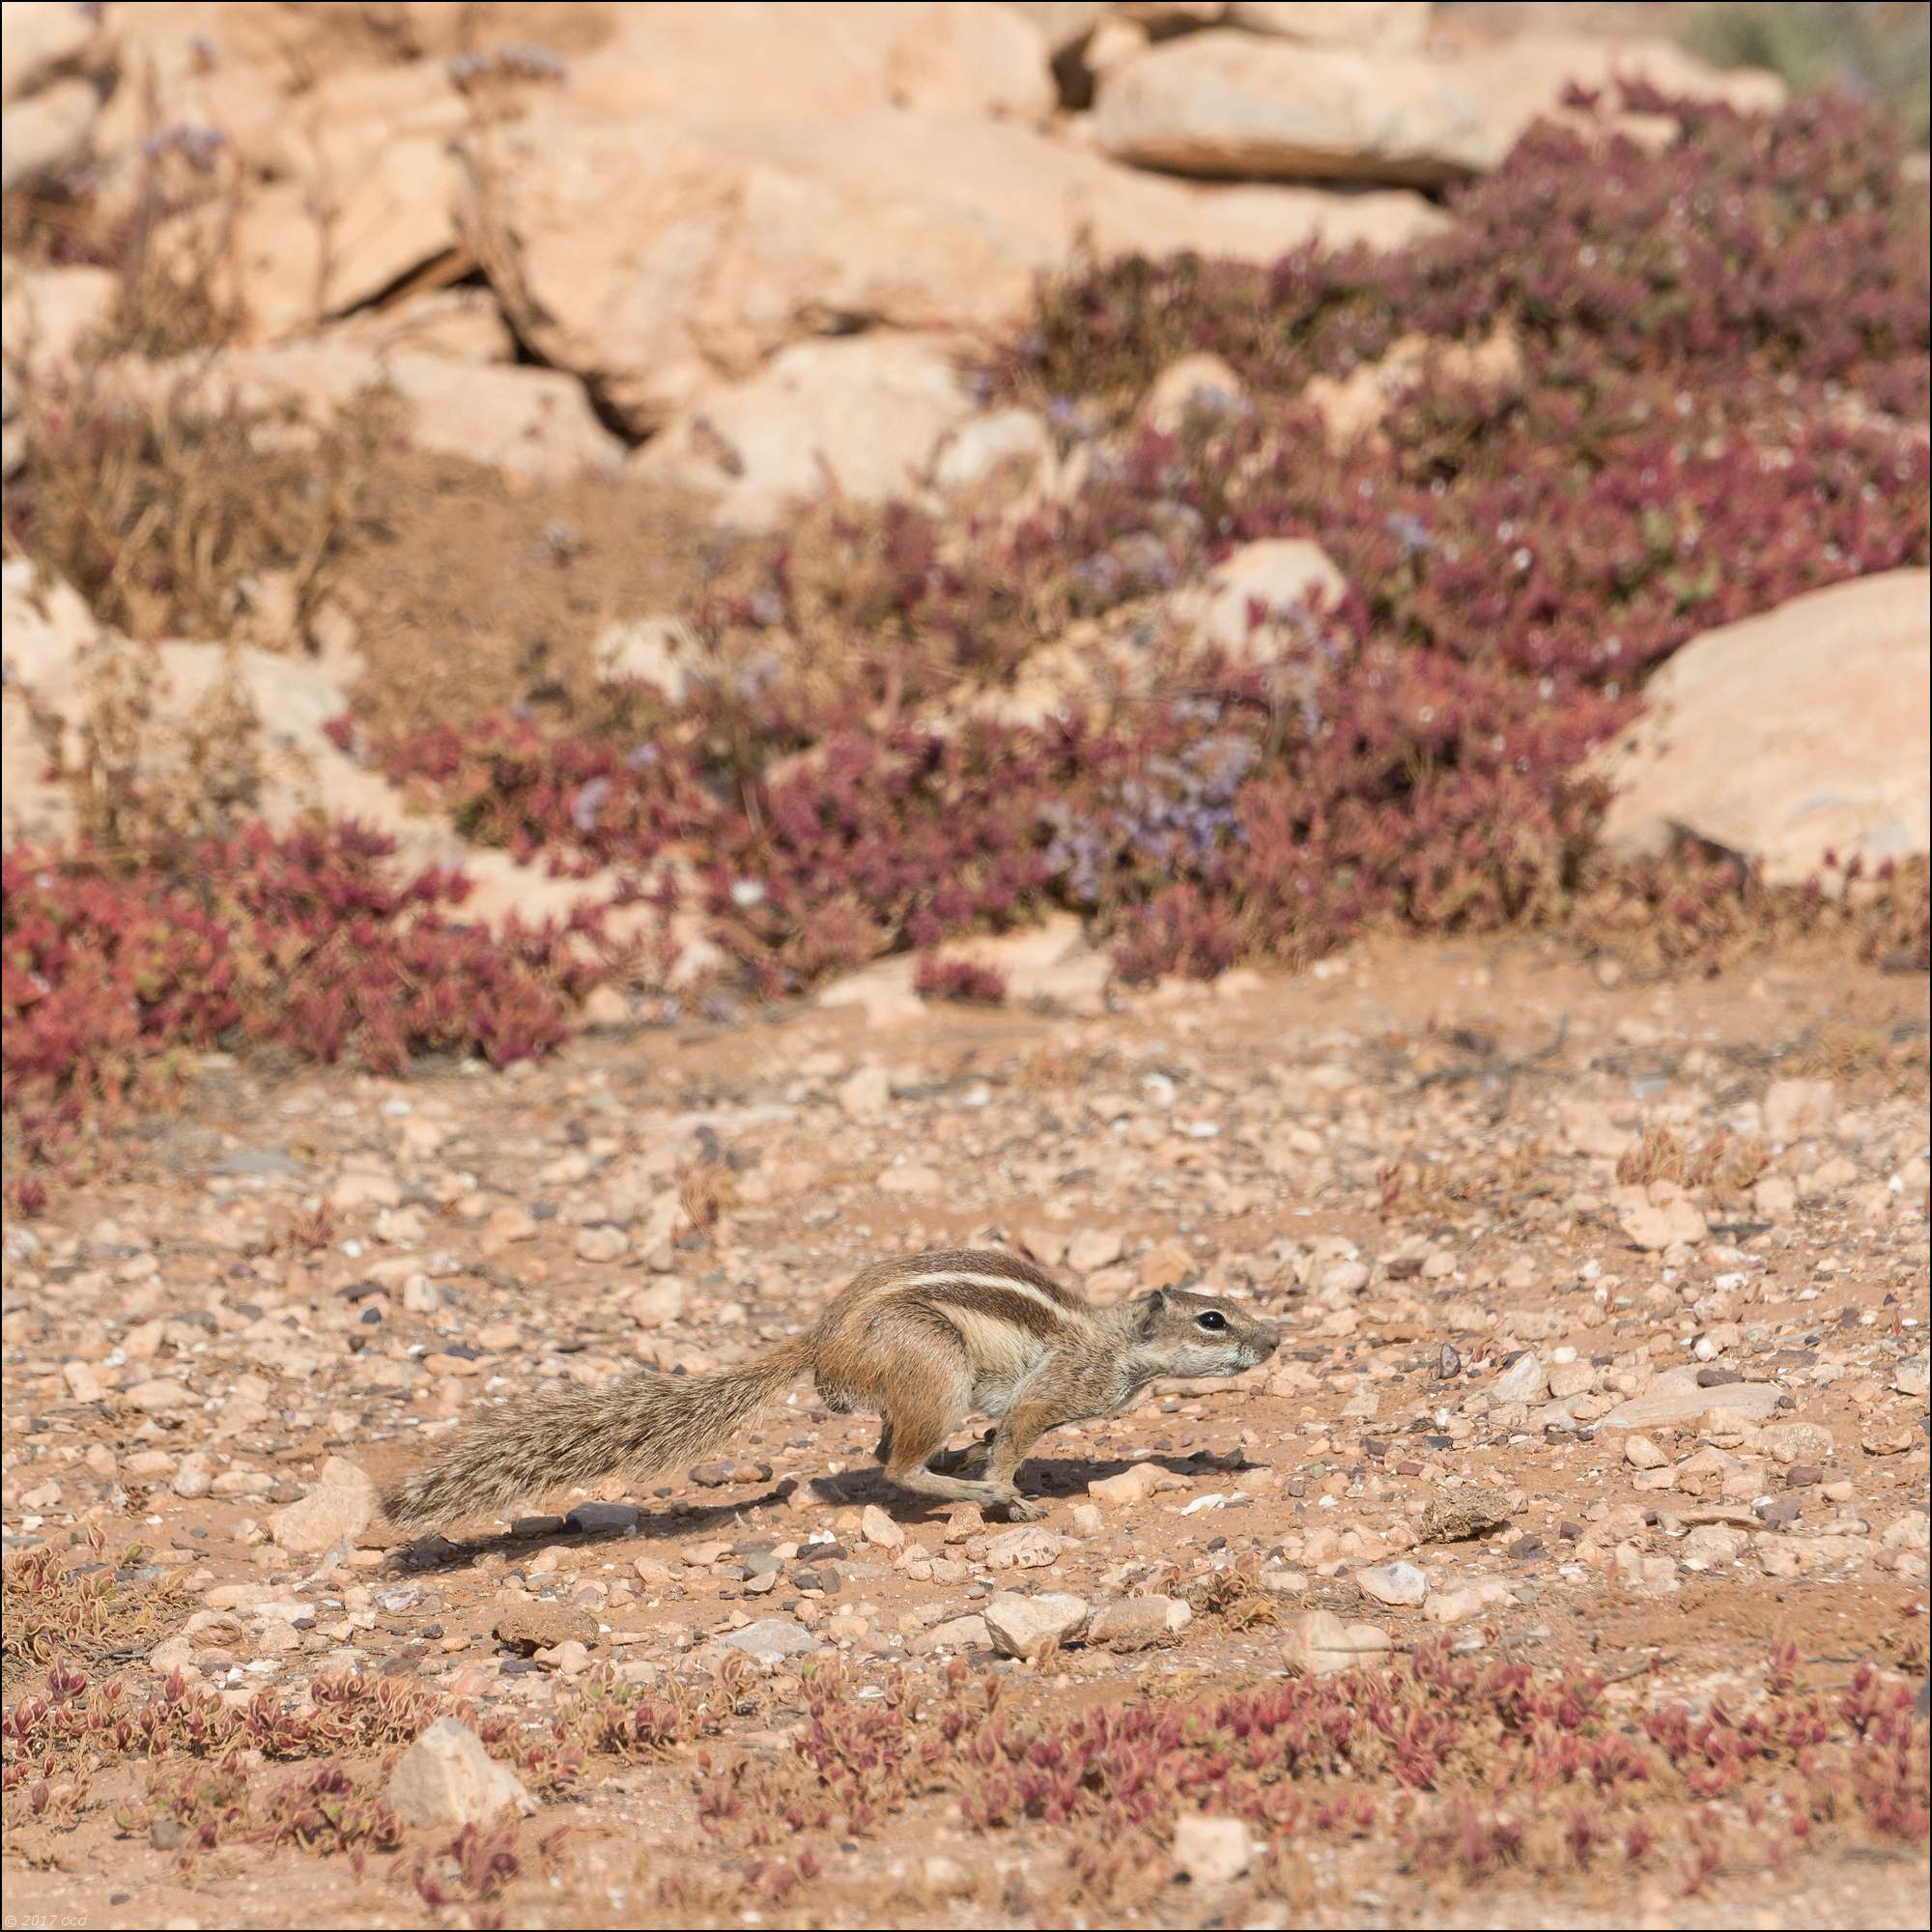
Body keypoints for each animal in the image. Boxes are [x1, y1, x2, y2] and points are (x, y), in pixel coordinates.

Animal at [383, 1244, 1275, 1530]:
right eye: (1214, 1322)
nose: (1277, 1338)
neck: (1113, 1341)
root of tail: (823, 1338)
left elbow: (996, 1438)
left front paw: (989, 1469)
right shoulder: (1048, 1394)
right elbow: (1013, 1439)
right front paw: (1009, 1492)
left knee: (889, 1453)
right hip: (936, 1370)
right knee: (897, 1465)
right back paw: (972, 1493)